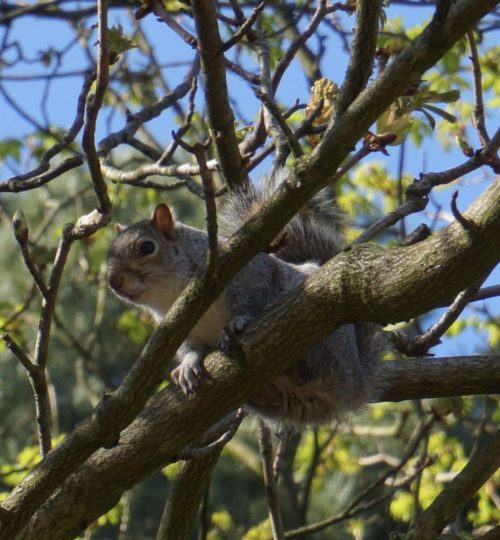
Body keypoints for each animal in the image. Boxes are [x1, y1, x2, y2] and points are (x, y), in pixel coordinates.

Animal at [107, 169, 382, 426]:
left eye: (146, 247)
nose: (113, 282)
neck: (172, 293)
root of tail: (357, 383)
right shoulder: (175, 327)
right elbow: (189, 348)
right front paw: (187, 364)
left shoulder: (246, 273)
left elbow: (252, 297)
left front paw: (239, 322)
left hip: (326, 343)